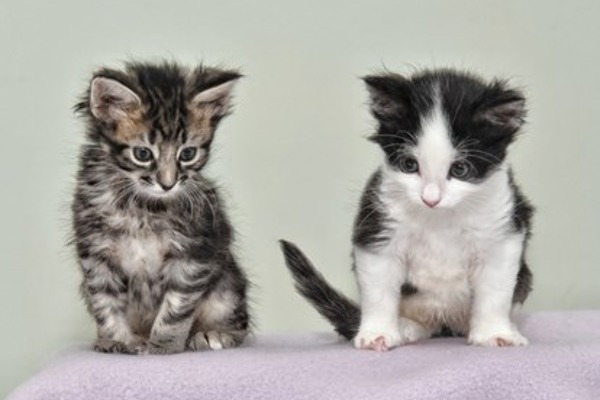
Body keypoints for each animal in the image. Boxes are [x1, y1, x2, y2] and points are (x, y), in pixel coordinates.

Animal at [73, 61, 251, 354]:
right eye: (143, 154)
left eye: (187, 153)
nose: (168, 184)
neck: (142, 206)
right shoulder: (96, 253)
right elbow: (105, 304)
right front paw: (116, 341)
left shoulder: (193, 254)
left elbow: (175, 309)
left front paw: (162, 347)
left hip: (227, 285)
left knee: (239, 323)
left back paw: (210, 334)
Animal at [282, 70, 536, 352]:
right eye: (409, 165)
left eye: (460, 169)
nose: (430, 199)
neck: (439, 218)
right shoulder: (377, 224)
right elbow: (379, 289)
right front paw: (378, 333)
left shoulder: (503, 231)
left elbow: (495, 290)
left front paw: (494, 333)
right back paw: (407, 327)